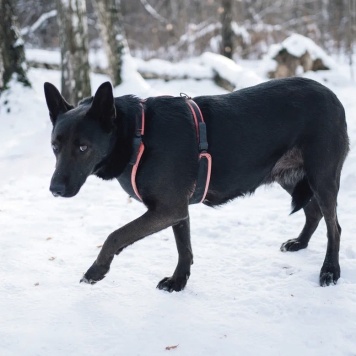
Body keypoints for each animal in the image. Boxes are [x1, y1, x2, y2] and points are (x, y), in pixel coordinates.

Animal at [43, 76, 348, 290]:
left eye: (83, 147)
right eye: (55, 147)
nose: (54, 190)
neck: (139, 135)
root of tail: (332, 95)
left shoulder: (167, 209)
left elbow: (115, 236)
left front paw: (96, 271)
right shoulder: (176, 210)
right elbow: (184, 248)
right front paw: (179, 282)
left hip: (322, 177)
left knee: (335, 227)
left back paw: (330, 270)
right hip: (290, 175)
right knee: (314, 212)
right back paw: (300, 243)